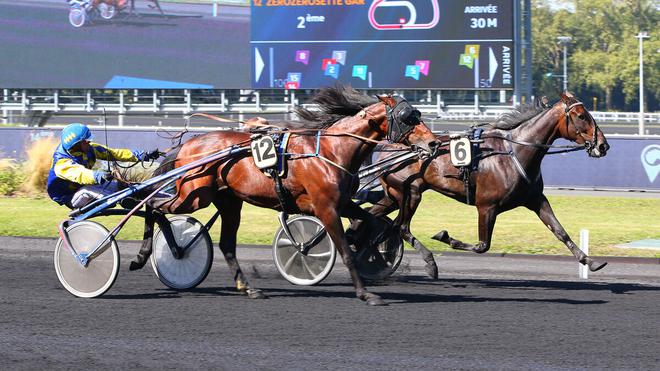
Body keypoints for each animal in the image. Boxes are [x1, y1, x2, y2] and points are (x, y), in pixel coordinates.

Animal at [129, 85, 438, 306]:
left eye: (418, 115)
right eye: (407, 118)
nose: (434, 143)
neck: (330, 151)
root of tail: (190, 143)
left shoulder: (343, 203)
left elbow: (374, 223)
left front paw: (374, 252)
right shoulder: (326, 208)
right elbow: (345, 251)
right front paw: (366, 293)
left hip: (227, 201)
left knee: (226, 244)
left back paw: (248, 288)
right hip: (194, 194)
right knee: (153, 204)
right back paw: (155, 252)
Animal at [364, 92, 612, 280]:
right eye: (581, 116)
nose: (603, 145)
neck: (514, 153)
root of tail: (387, 145)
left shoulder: (535, 199)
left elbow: (560, 231)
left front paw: (590, 261)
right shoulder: (486, 206)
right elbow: (482, 245)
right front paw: (445, 237)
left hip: (394, 195)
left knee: (377, 220)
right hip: (411, 193)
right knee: (401, 227)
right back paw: (429, 264)